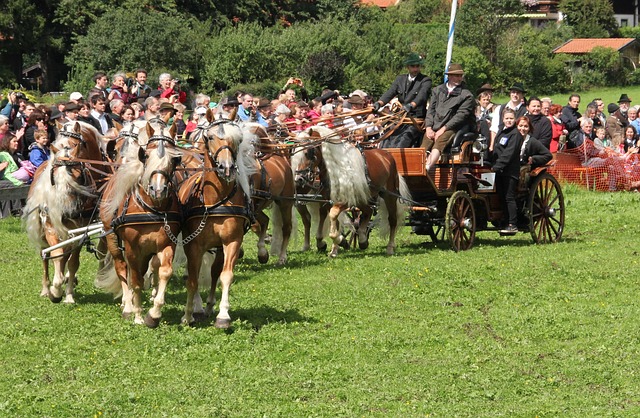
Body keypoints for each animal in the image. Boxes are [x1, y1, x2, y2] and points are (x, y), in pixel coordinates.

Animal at [21, 121, 112, 304]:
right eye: (54, 178)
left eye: (76, 143)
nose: (65, 213)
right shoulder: (50, 226)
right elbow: (56, 254)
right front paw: (55, 290)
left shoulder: (81, 229)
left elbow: (73, 261)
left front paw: (68, 293)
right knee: (45, 255)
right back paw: (46, 288)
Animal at [97, 119, 182, 324]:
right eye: (146, 155)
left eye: (174, 159)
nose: (158, 189)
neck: (152, 207)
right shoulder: (132, 247)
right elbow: (135, 279)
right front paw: (136, 314)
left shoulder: (166, 243)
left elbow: (164, 272)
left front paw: (155, 312)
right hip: (113, 238)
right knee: (121, 268)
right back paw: (127, 305)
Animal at [176, 116, 256, 326]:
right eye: (210, 137)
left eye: (238, 139)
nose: (226, 167)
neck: (215, 200)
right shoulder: (193, 245)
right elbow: (193, 278)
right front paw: (187, 314)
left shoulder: (232, 241)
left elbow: (225, 275)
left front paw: (223, 315)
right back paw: (197, 307)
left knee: (214, 272)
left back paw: (210, 305)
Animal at [292, 125, 408, 258]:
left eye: (308, 153)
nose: (299, 179)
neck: (337, 169)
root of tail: (385, 155)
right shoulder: (330, 201)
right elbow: (335, 222)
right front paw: (335, 249)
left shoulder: (345, 201)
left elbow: (333, 217)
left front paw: (340, 240)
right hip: (363, 197)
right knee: (367, 211)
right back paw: (362, 239)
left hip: (389, 196)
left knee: (392, 219)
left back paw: (390, 247)